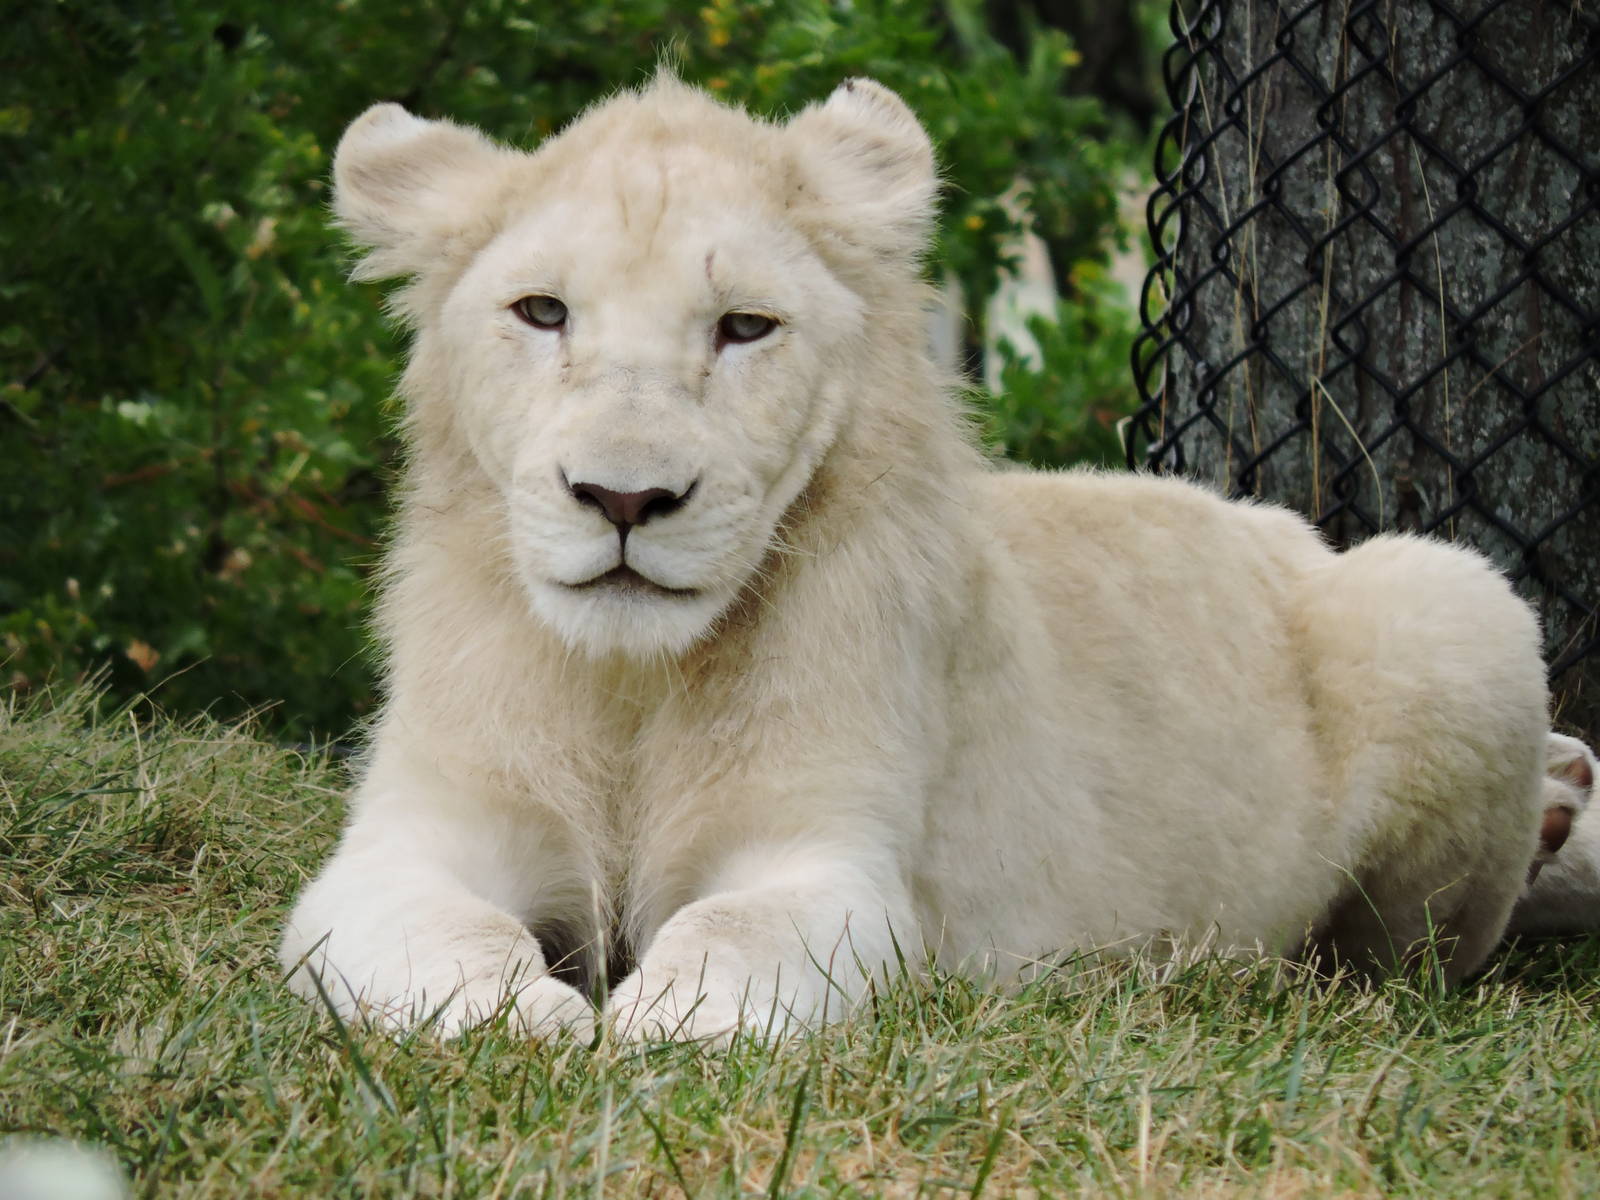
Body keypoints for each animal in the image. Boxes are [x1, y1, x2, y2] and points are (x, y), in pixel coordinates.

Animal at [280, 74, 1599, 1042]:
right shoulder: (406, 846)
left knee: (1424, 946)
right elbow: (440, 936)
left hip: (1451, 598)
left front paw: (654, 1022)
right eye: (543, 313)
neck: (634, 686)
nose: (624, 497)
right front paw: (527, 1019)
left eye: (744, 327)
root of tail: (1281, 528)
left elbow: (730, 936)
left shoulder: (847, 870)